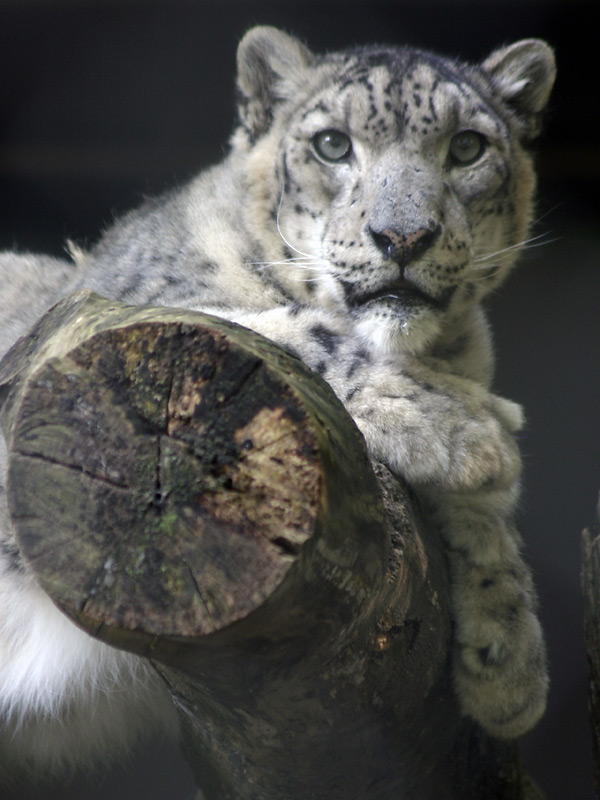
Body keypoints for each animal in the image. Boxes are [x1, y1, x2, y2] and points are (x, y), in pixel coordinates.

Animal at [0, 26, 556, 776]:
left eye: (467, 147)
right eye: (332, 145)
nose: (403, 238)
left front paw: (509, 658)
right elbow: (279, 329)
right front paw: (467, 428)